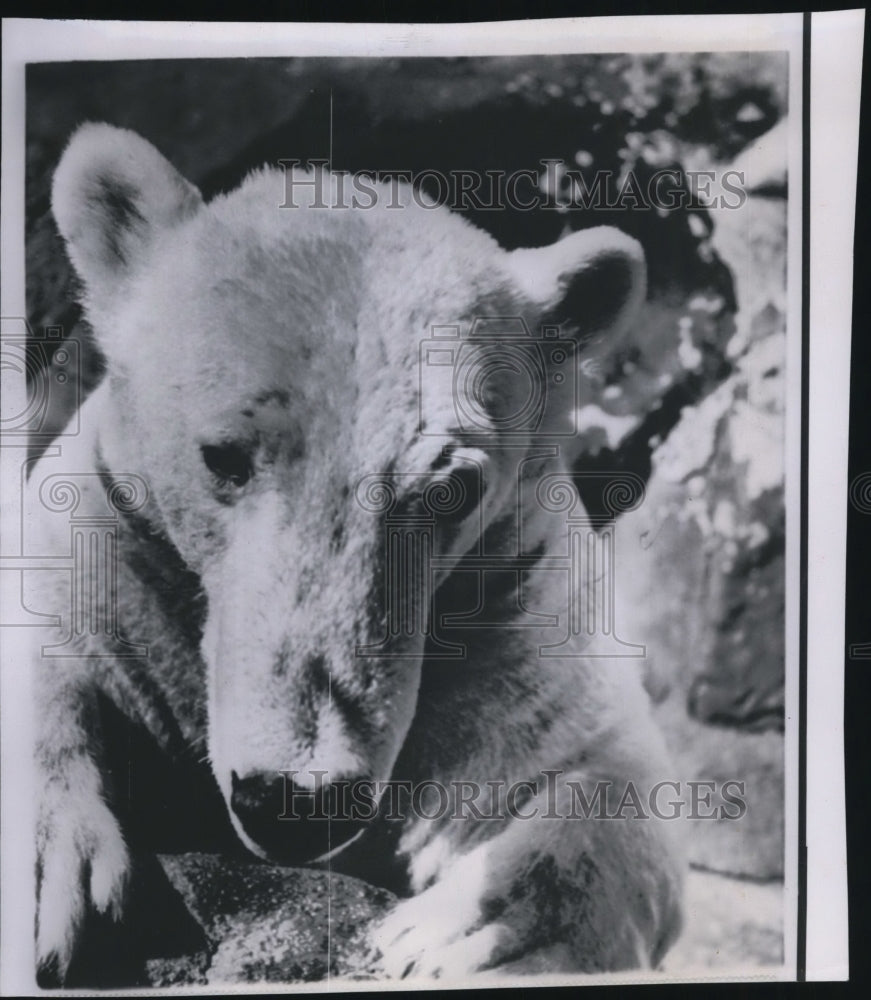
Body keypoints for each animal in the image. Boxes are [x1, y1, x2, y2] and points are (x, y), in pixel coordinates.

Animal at [29, 123, 688, 984]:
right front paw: (59, 875)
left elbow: (605, 781)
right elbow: (59, 652)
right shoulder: (108, 542)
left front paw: (459, 931)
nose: (298, 801)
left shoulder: (515, 599)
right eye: (221, 455)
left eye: (451, 487)